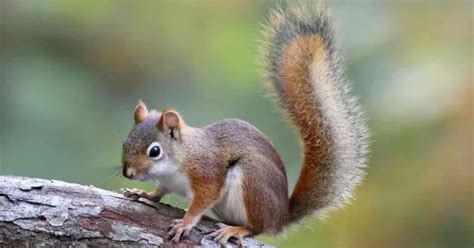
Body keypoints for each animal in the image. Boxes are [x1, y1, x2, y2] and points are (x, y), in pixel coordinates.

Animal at [120, 0, 368, 246]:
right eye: (125, 143)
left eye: (154, 151)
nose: (128, 173)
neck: (179, 159)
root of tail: (281, 217)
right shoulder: (167, 182)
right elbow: (159, 191)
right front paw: (142, 194)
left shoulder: (206, 174)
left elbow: (201, 202)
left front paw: (185, 223)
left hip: (252, 180)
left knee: (258, 227)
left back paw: (236, 230)